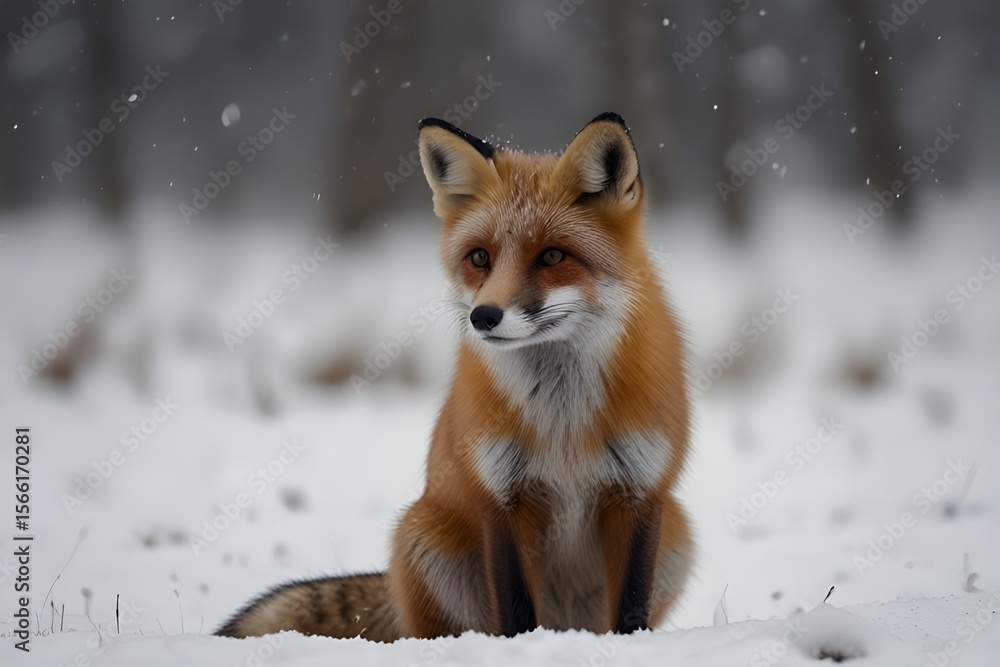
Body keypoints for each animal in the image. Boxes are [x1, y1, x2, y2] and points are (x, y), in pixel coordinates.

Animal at [216, 112, 693, 641]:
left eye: (552, 256)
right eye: (480, 258)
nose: (483, 317)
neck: (562, 424)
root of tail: (567, 624)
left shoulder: (639, 493)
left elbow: (629, 612)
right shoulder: (502, 497)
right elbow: (516, 612)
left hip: (678, 529)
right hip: (422, 534)